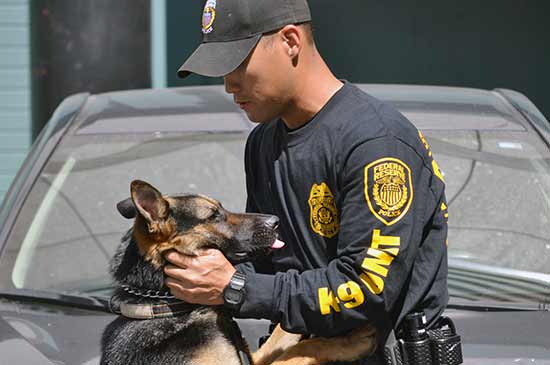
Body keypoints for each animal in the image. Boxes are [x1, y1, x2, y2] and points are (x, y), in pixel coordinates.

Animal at [100, 180, 380, 364]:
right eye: (214, 216)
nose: (275, 222)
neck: (165, 302)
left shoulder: (251, 356)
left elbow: (282, 337)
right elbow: (300, 351)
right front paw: (350, 341)